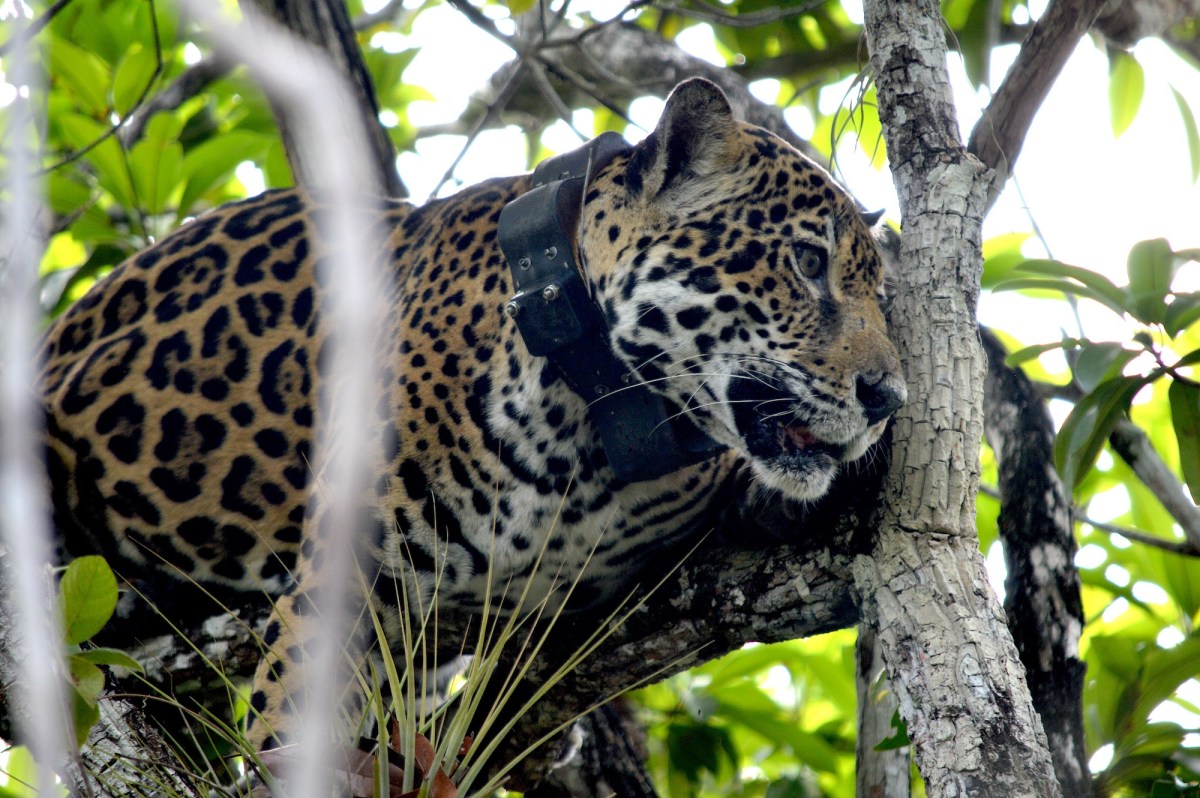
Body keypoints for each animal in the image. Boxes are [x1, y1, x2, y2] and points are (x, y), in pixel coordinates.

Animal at [38, 78, 905, 754]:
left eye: (880, 294)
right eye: (807, 262)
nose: (888, 397)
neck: (584, 436)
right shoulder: (344, 588)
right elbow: (290, 730)